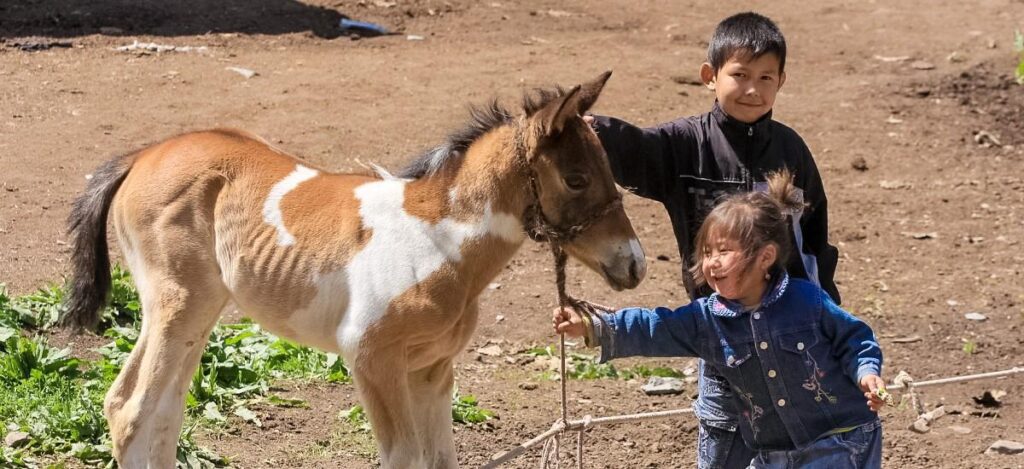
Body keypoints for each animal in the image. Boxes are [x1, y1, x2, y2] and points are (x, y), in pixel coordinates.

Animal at [61, 71, 646, 468]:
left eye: (611, 169)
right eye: (575, 179)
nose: (634, 263)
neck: (438, 242)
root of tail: (143, 155)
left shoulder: (432, 369)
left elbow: (440, 460)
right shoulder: (371, 358)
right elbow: (403, 459)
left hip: (200, 313)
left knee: (164, 411)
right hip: (177, 305)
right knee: (130, 409)